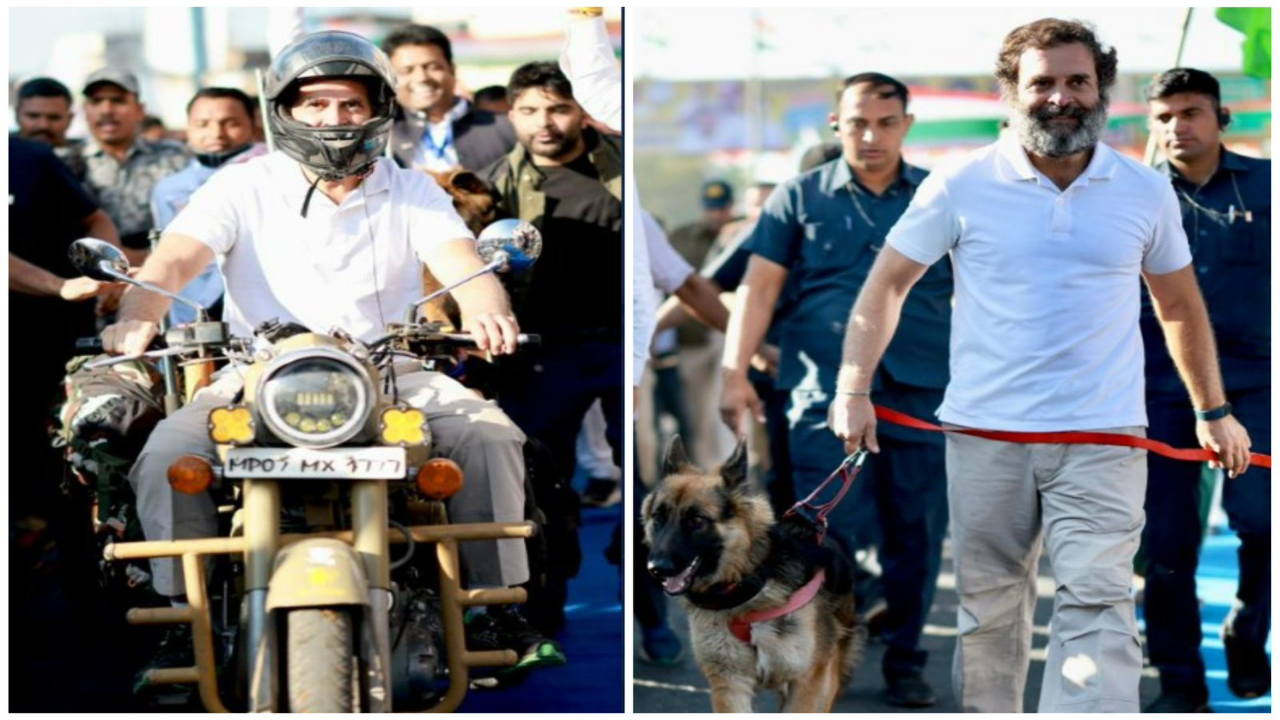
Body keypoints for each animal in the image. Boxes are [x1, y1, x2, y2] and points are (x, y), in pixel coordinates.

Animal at [645, 435, 865, 707]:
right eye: (658, 518)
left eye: (697, 521)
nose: (656, 569)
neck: (752, 580)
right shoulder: (730, 683)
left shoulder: (808, 684)